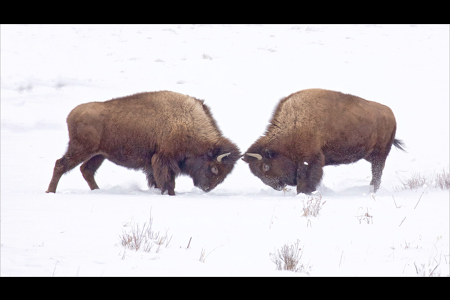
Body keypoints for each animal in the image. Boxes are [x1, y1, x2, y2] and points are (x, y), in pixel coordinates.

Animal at [45, 90, 241, 196]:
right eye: (214, 168)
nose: (206, 187)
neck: (187, 121)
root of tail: (72, 113)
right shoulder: (163, 160)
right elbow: (167, 181)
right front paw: (169, 194)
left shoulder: (154, 163)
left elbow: (157, 180)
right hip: (80, 149)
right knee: (61, 164)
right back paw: (50, 192)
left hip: (99, 154)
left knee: (87, 170)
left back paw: (96, 191)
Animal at [243, 88, 404, 193]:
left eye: (265, 166)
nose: (277, 186)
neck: (295, 123)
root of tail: (390, 113)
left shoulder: (310, 159)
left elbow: (305, 177)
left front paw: (303, 192)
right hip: (370, 155)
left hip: (380, 154)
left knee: (377, 172)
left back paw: (372, 190)